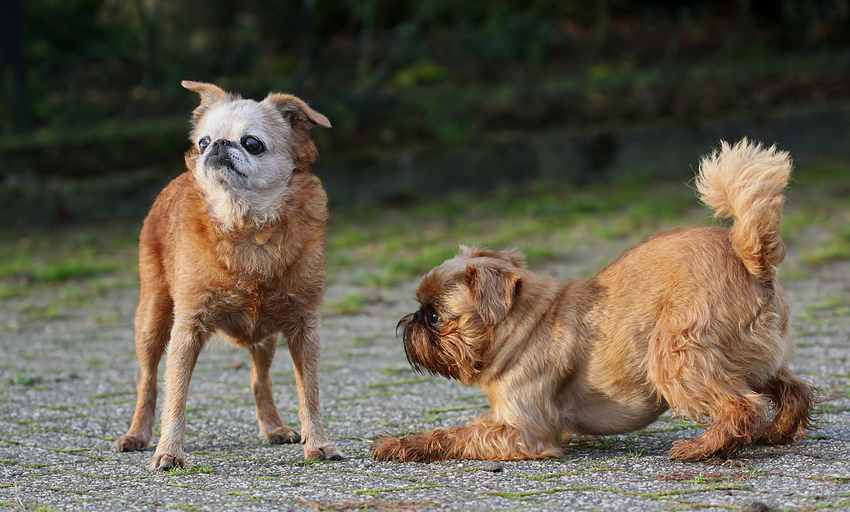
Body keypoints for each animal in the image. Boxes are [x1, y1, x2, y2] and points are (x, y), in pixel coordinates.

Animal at [114, 81, 342, 472]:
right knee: (149, 381)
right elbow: (175, 396)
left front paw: (318, 443)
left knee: (259, 378)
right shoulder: (186, 329)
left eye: (252, 143)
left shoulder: (304, 329)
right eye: (203, 141)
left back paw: (274, 427)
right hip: (152, 319)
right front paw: (169, 450)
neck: (246, 226)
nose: (218, 144)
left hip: (265, 338)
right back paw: (137, 434)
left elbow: (309, 392)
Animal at [372, 138, 816, 462]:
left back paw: (704, 447)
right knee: (794, 390)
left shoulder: (522, 431)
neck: (522, 325)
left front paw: (400, 444)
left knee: (741, 406)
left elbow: (453, 434)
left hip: (677, 352)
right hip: (751, 358)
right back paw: (775, 433)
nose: (408, 322)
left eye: (433, 316)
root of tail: (750, 257)